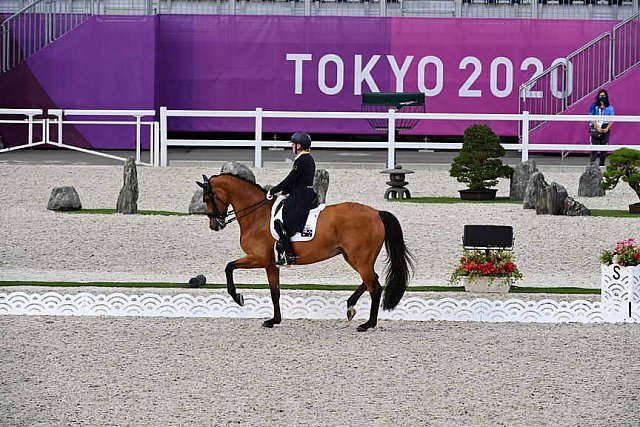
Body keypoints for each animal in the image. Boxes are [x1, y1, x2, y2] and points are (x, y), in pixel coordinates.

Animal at [196, 173, 416, 332]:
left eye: (207, 197)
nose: (215, 225)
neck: (257, 216)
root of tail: (377, 213)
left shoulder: (259, 259)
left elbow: (229, 267)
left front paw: (238, 298)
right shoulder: (271, 264)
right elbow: (274, 292)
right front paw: (274, 320)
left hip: (359, 259)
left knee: (375, 287)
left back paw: (367, 324)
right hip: (353, 258)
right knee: (373, 280)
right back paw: (350, 306)